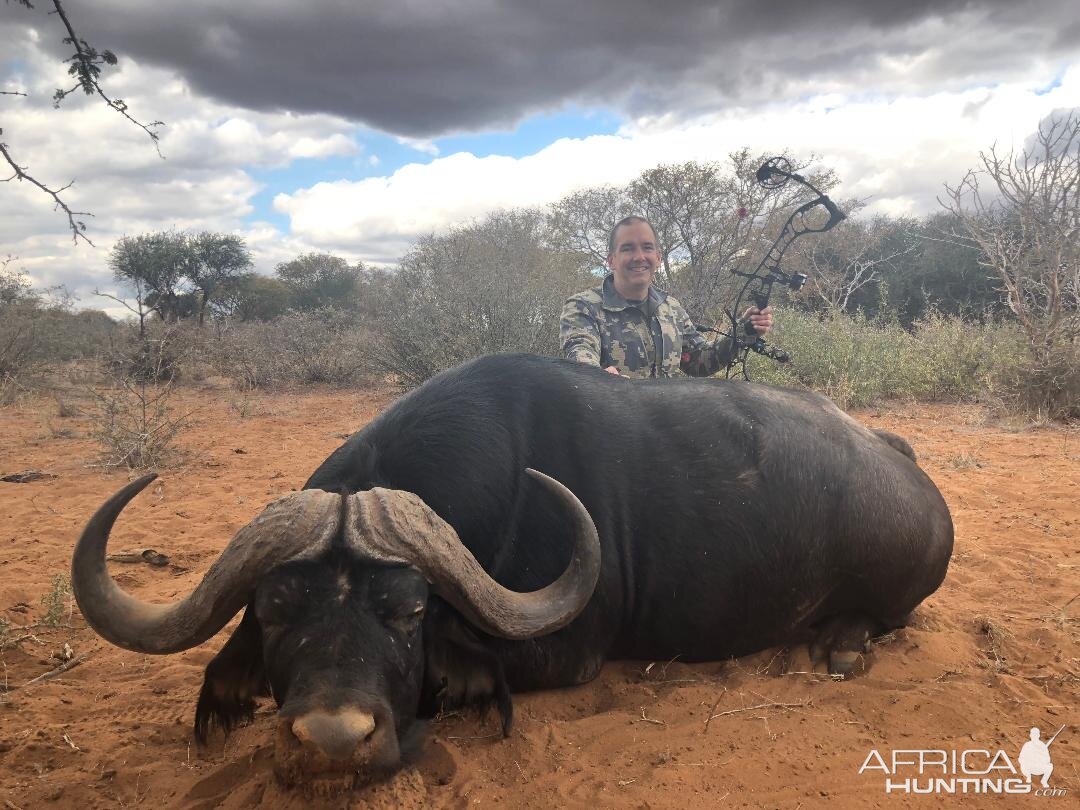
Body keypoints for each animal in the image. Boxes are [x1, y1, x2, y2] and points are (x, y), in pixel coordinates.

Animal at [71, 352, 954, 790]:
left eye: (409, 611)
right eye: (276, 609)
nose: (331, 742)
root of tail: (902, 463)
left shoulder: (564, 654)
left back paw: (841, 647)